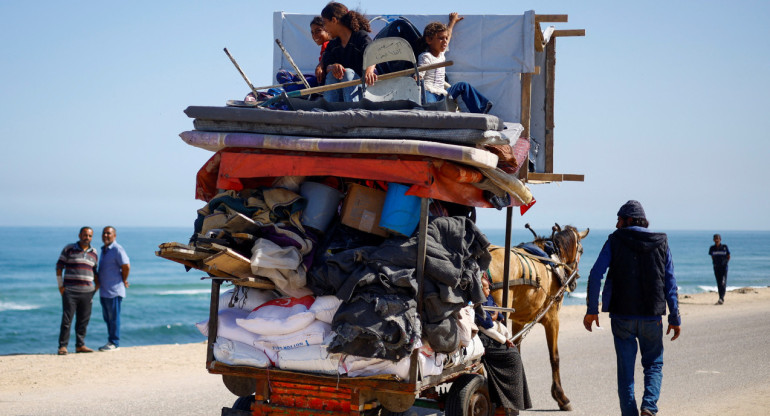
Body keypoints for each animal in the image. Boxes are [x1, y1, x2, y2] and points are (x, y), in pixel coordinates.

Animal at [486, 223, 588, 412]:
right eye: (582, 250)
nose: (574, 281)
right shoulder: (553, 319)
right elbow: (554, 357)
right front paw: (561, 396)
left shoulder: (518, 321)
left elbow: (516, 351)